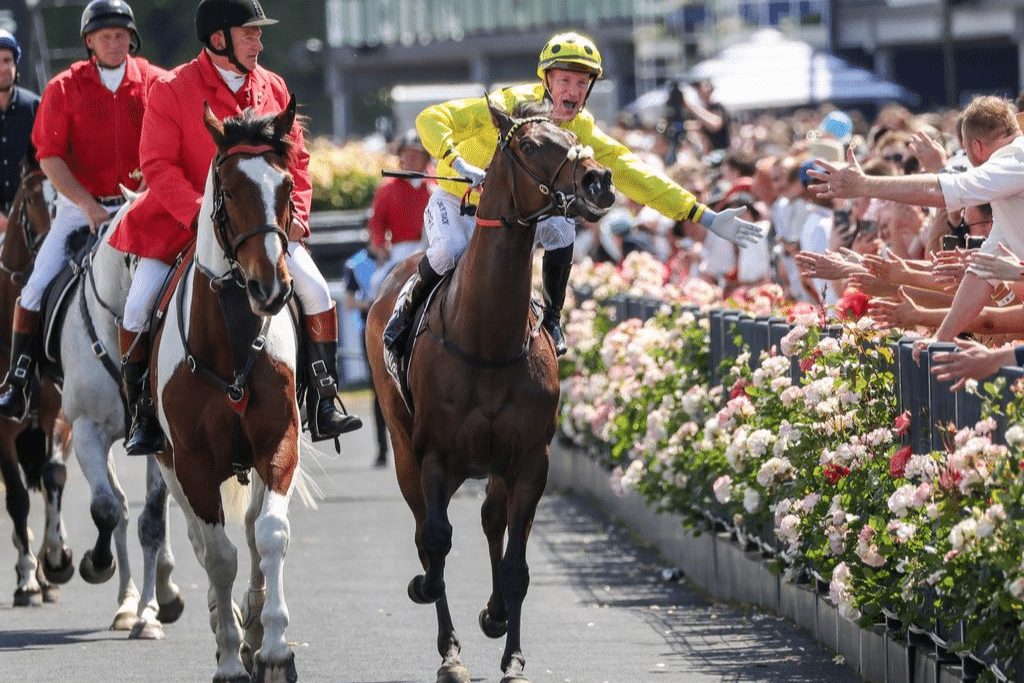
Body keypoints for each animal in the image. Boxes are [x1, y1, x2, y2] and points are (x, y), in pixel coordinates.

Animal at [149, 101, 299, 683]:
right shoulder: (191, 463)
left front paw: (274, 645)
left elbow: (270, 535)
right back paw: (226, 626)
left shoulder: (278, 443)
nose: (270, 287)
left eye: (287, 186)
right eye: (229, 190)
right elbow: (217, 557)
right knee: (200, 539)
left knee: (255, 530)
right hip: (169, 466)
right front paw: (232, 658)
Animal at [364, 98, 610, 683]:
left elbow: (517, 562)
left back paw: (495, 614)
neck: (487, 339)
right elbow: (434, 542)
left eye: (575, 139)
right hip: (406, 449)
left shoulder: (528, 461)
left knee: (490, 521)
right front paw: (448, 645)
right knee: (426, 530)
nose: (598, 180)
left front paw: (512, 651)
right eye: (529, 145)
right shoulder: (433, 455)